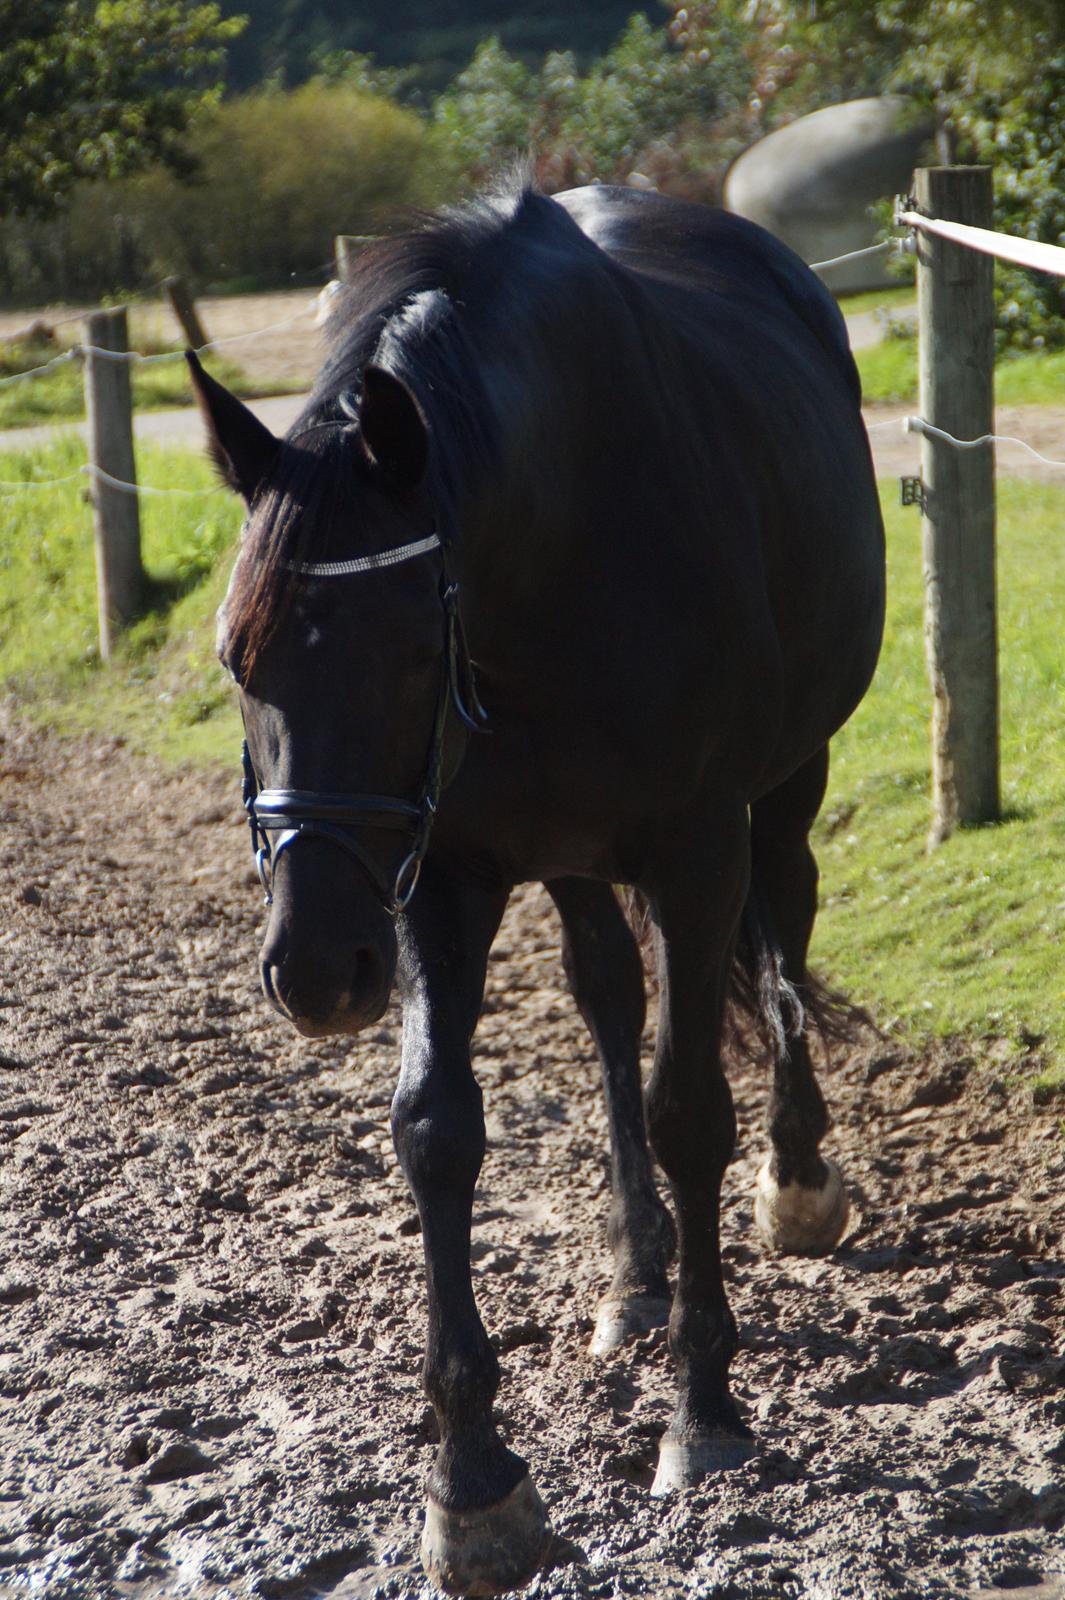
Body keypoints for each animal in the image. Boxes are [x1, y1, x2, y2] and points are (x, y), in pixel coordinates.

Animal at [188, 181, 876, 1593]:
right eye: (239, 655)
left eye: (406, 651)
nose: (315, 968)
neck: (560, 539)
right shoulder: (437, 872)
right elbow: (437, 1129)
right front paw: (472, 1481)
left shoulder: (694, 848)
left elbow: (690, 1110)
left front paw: (704, 1411)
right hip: (560, 857)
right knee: (609, 996)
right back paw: (635, 1270)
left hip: (784, 786)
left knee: (782, 935)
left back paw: (794, 1177)